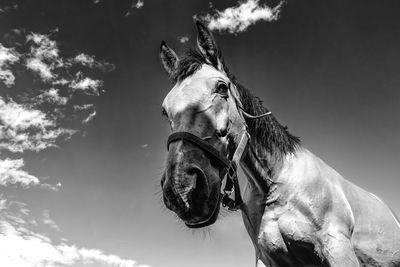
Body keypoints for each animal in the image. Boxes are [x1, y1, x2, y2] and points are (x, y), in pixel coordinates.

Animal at [158, 21, 398, 267]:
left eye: (222, 88)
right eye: (165, 110)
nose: (181, 188)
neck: (276, 186)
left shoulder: (338, 248)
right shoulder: (268, 258)